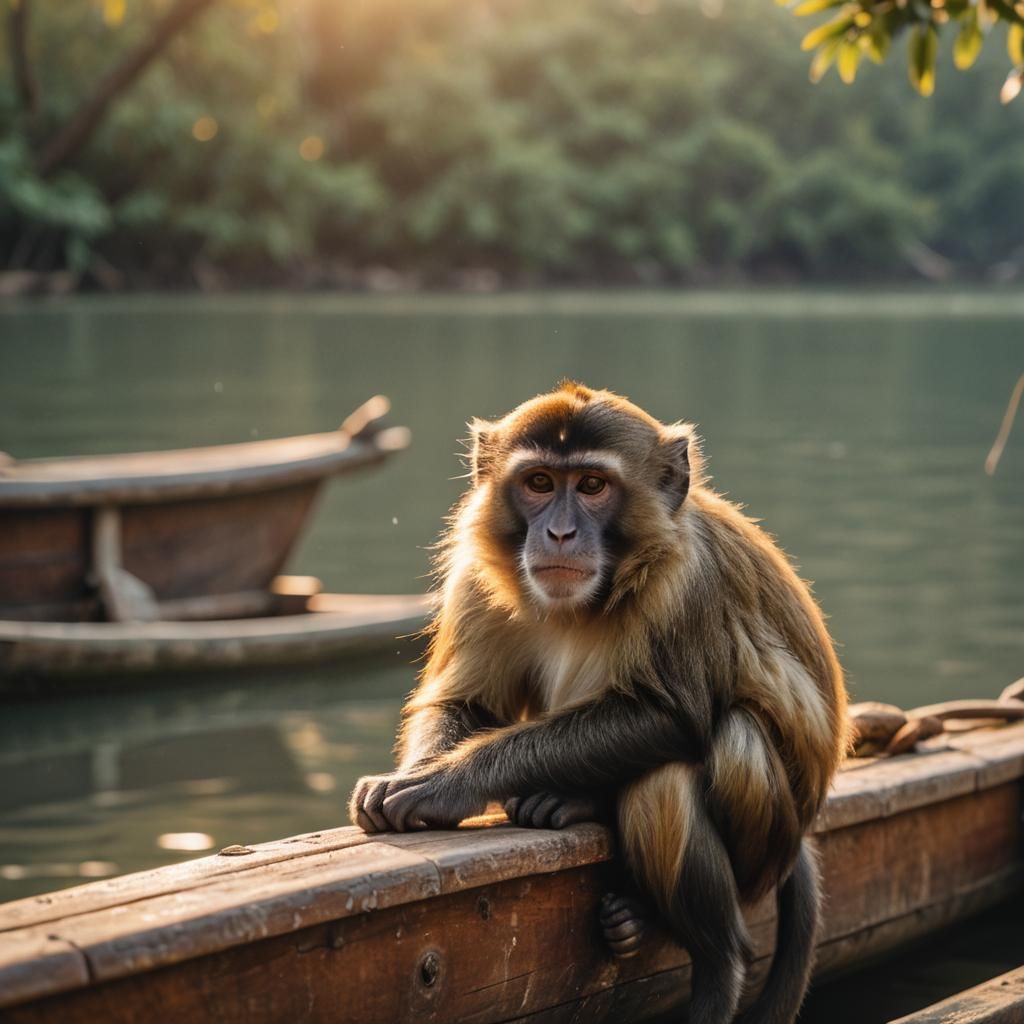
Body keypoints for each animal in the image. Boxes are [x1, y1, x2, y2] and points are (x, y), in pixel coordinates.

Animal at [350, 382, 848, 1024]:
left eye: (592, 486)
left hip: (768, 851)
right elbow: (468, 702)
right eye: (540, 483)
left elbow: (672, 717)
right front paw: (413, 774)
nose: (560, 534)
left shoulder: (687, 578)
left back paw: (713, 955)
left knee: (698, 761)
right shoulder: (478, 575)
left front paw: (444, 783)